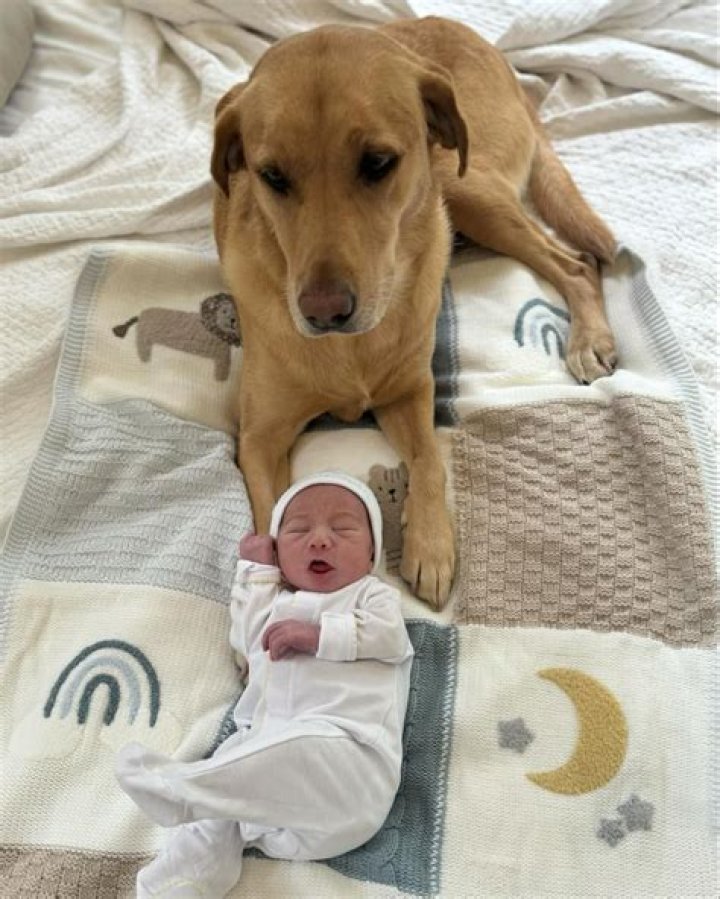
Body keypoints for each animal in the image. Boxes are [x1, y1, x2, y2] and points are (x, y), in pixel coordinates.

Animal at [211, 16, 617, 608]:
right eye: (273, 177)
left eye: (378, 163)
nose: (324, 313)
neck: (350, 350)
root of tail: (471, 36)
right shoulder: (260, 439)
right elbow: (269, 520)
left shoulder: (411, 394)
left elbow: (429, 460)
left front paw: (430, 544)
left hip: (464, 185)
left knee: (579, 263)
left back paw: (589, 338)